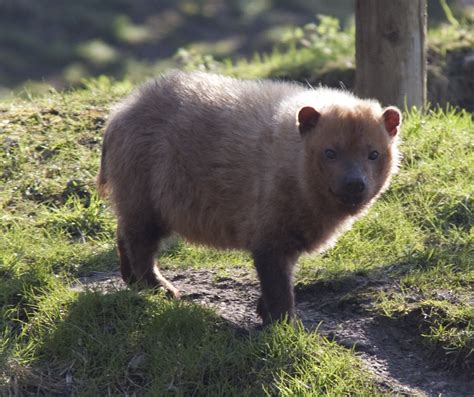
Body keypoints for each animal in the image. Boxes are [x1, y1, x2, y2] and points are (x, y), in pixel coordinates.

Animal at [98, 70, 402, 324]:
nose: (354, 184)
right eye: (330, 152)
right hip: (148, 186)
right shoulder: (269, 222)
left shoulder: (291, 229)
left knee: (125, 229)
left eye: (373, 153)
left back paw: (130, 278)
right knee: (141, 240)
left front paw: (265, 311)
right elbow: (277, 281)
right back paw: (158, 287)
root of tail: (119, 114)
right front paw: (283, 324)